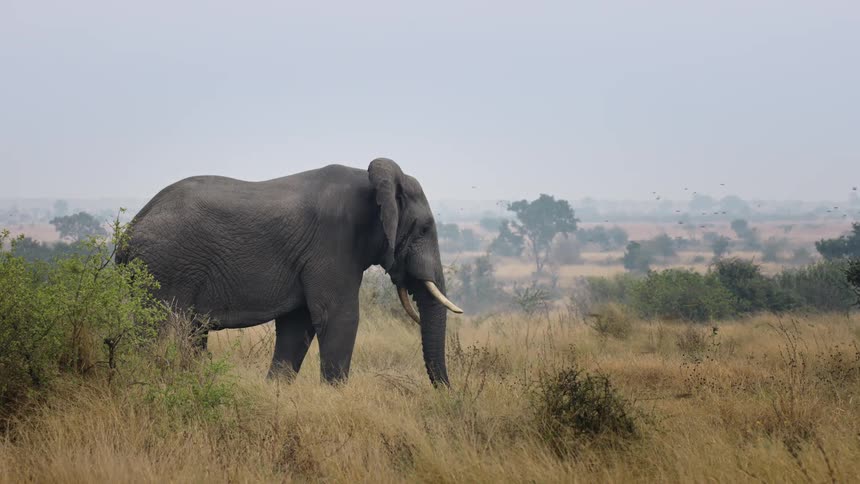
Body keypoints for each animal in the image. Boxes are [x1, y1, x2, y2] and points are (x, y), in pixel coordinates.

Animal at [118, 158, 462, 386]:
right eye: (424, 229)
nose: (446, 392)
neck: (370, 180)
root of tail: (130, 229)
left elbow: (298, 325)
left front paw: (275, 392)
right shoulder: (333, 244)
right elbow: (339, 318)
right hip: (166, 266)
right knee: (164, 331)